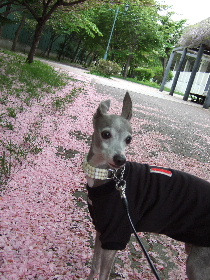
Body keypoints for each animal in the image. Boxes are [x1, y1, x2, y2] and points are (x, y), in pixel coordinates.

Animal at [82, 91, 210, 278]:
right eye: (105, 134)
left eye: (129, 139)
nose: (120, 160)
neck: (108, 176)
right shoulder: (101, 230)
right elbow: (94, 267)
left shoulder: (115, 235)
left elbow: (104, 274)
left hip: (197, 264)